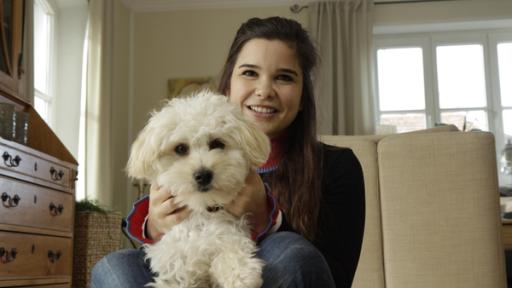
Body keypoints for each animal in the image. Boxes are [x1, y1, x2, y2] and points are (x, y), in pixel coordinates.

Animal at [126, 90, 270, 288]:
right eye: (180, 148)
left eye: (217, 143)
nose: (203, 175)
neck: (201, 212)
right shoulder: (175, 261)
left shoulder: (229, 236)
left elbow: (230, 253)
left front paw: (241, 276)